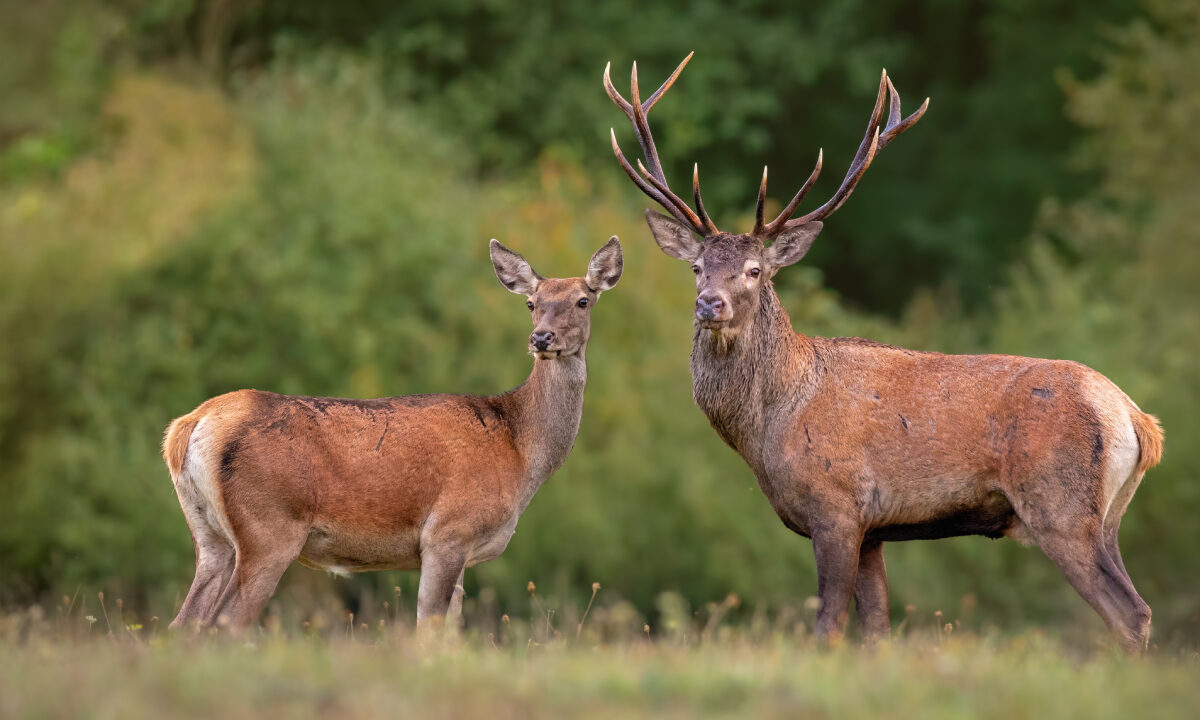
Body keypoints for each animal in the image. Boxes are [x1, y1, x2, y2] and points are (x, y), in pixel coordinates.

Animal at [161, 237, 623, 634]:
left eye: (582, 300)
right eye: (531, 303)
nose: (541, 338)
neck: (519, 451)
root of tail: (189, 427)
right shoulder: (448, 532)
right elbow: (428, 631)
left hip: (209, 536)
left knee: (182, 624)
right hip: (269, 528)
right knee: (221, 624)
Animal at [605, 53, 1163, 651]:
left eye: (755, 271)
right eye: (696, 267)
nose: (709, 303)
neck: (770, 425)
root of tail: (1135, 418)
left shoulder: (837, 507)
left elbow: (827, 624)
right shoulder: (875, 530)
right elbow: (876, 631)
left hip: (1061, 505)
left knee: (1129, 610)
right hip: (1109, 516)